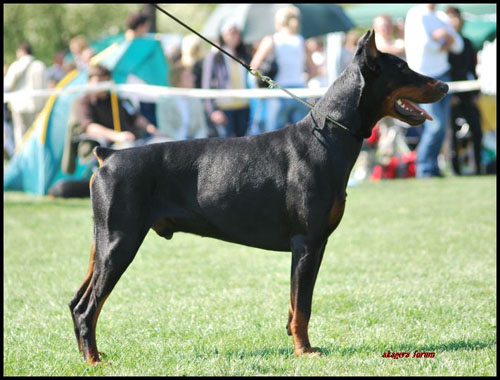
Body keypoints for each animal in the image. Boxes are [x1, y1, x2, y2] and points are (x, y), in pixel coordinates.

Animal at [68, 29, 448, 362]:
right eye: (403, 68)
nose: (444, 85)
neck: (328, 135)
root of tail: (108, 155)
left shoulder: (315, 245)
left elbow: (297, 304)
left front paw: (299, 343)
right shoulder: (306, 241)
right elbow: (303, 306)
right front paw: (304, 351)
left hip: (101, 244)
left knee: (76, 301)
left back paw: (90, 354)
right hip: (121, 241)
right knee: (88, 307)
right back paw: (94, 361)